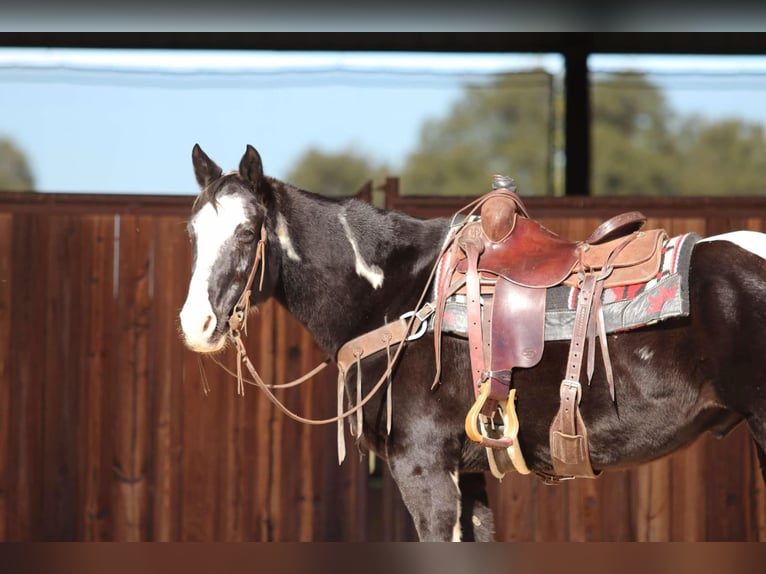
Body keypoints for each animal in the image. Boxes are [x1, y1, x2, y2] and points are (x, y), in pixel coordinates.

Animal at [179, 143, 766, 542]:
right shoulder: (470, 476)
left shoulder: (424, 468)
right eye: (192, 234)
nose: (195, 324)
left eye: (247, 233)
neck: (399, 292)